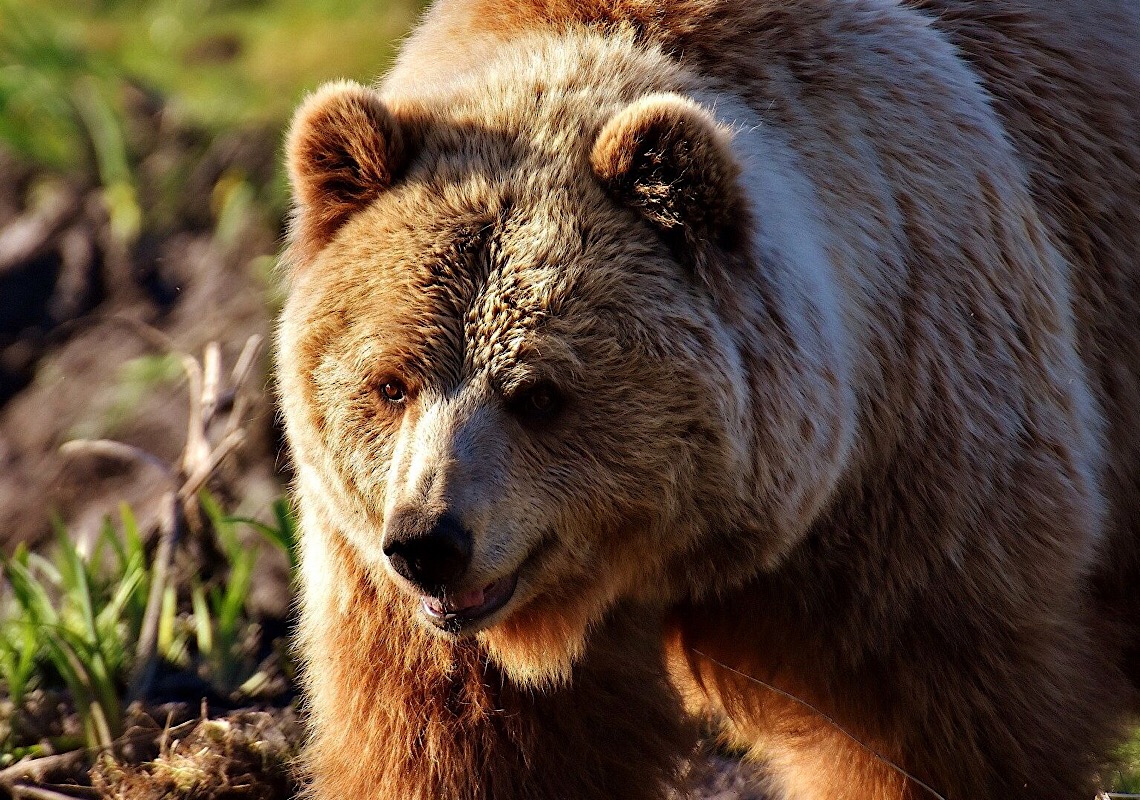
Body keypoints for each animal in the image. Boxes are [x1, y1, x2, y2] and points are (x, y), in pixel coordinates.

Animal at [275, 1, 1140, 798]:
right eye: (391, 384)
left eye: (541, 393)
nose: (430, 542)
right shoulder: (388, 585)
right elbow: (462, 746)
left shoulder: (919, 484)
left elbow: (932, 732)